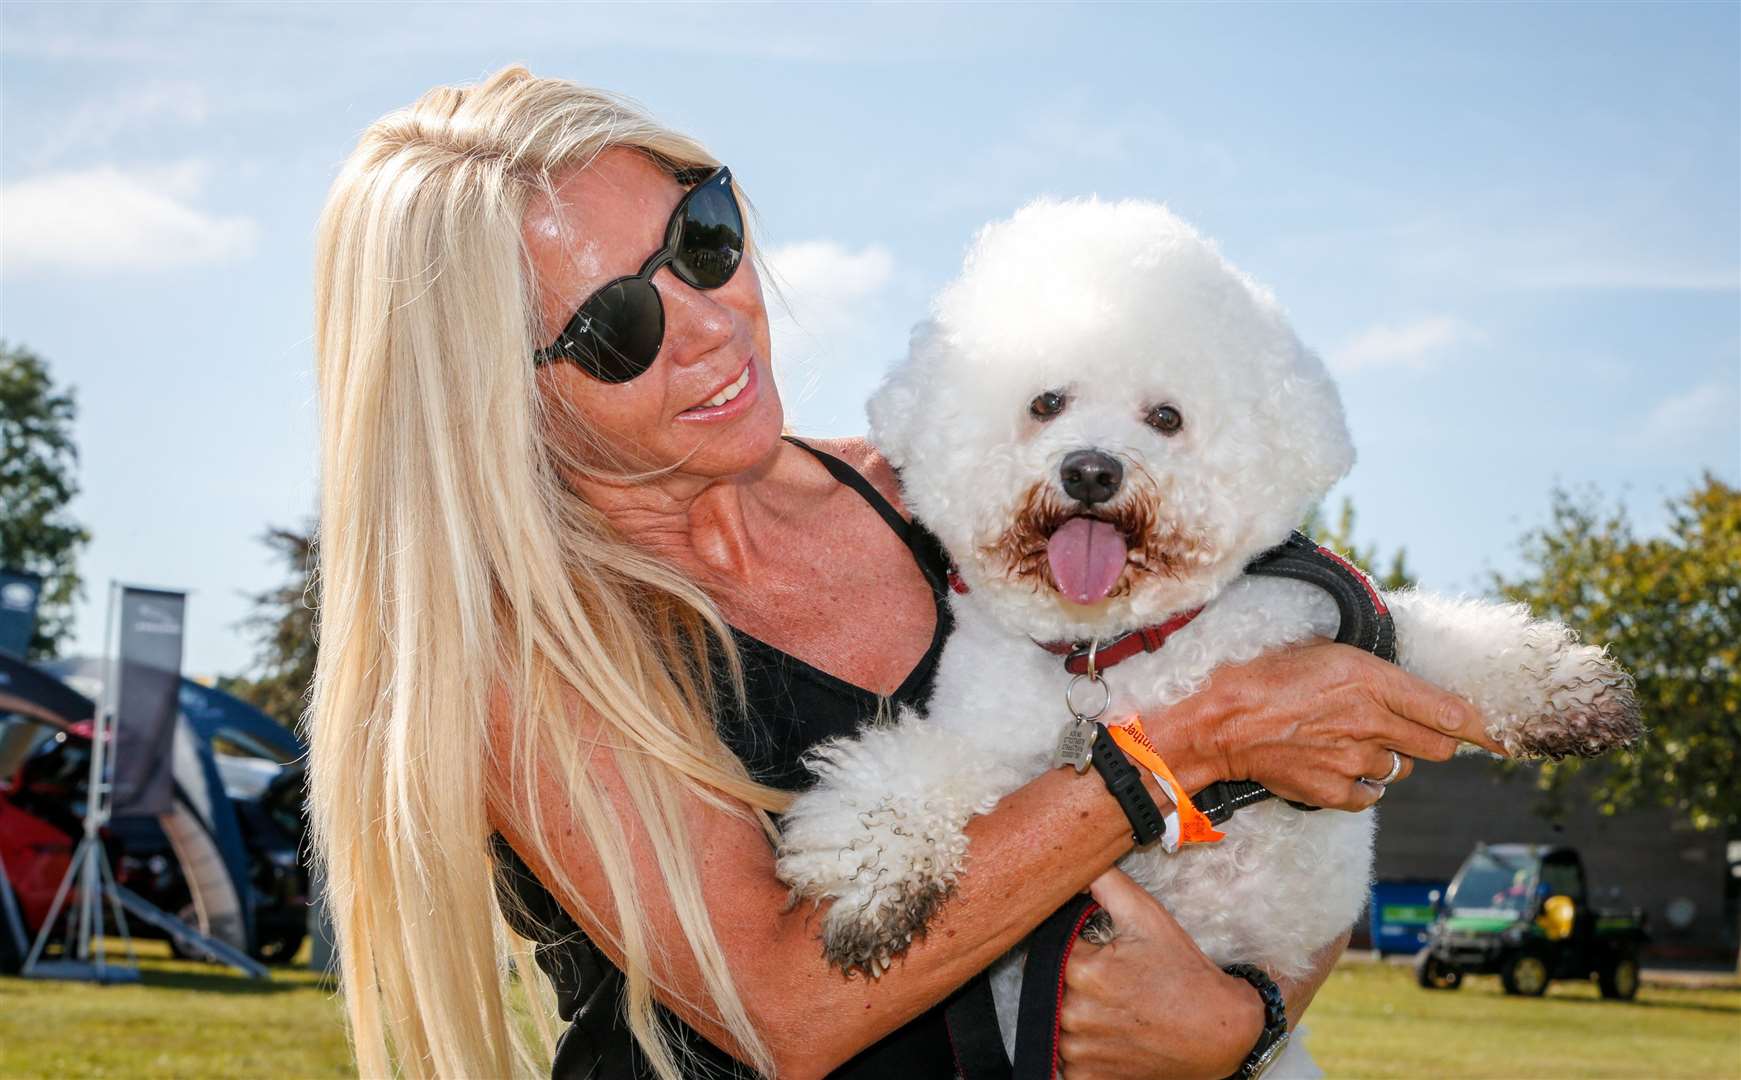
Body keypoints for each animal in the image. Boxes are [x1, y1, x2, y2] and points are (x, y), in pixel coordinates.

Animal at [769, 198, 1636, 1066]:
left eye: (1165, 417)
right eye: (1045, 403)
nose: (1090, 470)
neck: (1111, 650)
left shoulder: (1347, 638)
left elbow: (1452, 641)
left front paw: (1567, 692)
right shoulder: (987, 751)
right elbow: (900, 779)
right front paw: (875, 887)